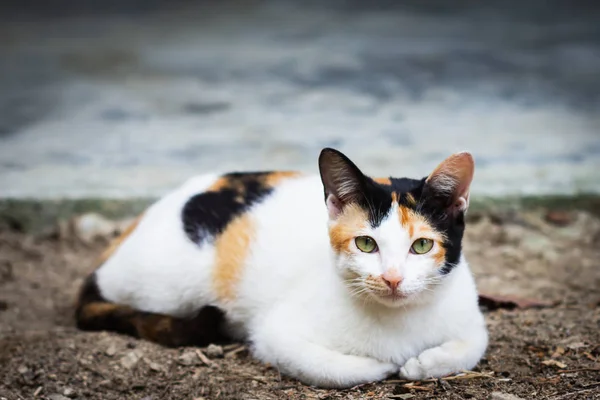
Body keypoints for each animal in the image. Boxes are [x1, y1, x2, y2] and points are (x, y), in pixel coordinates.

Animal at [75, 147, 488, 388]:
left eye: (421, 245)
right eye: (366, 244)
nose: (392, 278)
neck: (400, 323)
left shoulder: (470, 315)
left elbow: (473, 344)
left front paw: (422, 364)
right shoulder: (275, 335)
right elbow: (332, 368)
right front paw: (383, 367)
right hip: (172, 287)